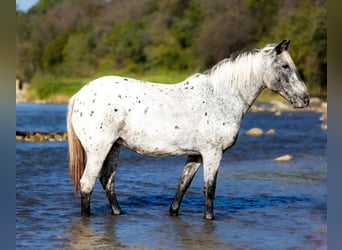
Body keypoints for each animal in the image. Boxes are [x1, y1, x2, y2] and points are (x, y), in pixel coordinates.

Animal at [67, 40, 310, 220]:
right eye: (285, 66)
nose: (305, 99)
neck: (221, 97)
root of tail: (79, 95)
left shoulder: (196, 154)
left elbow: (183, 185)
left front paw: (173, 212)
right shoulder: (212, 153)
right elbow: (209, 189)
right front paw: (209, 219)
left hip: (114, 147)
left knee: (107, 181)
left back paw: (118, 213)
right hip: (99, 149)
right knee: (87, 183)